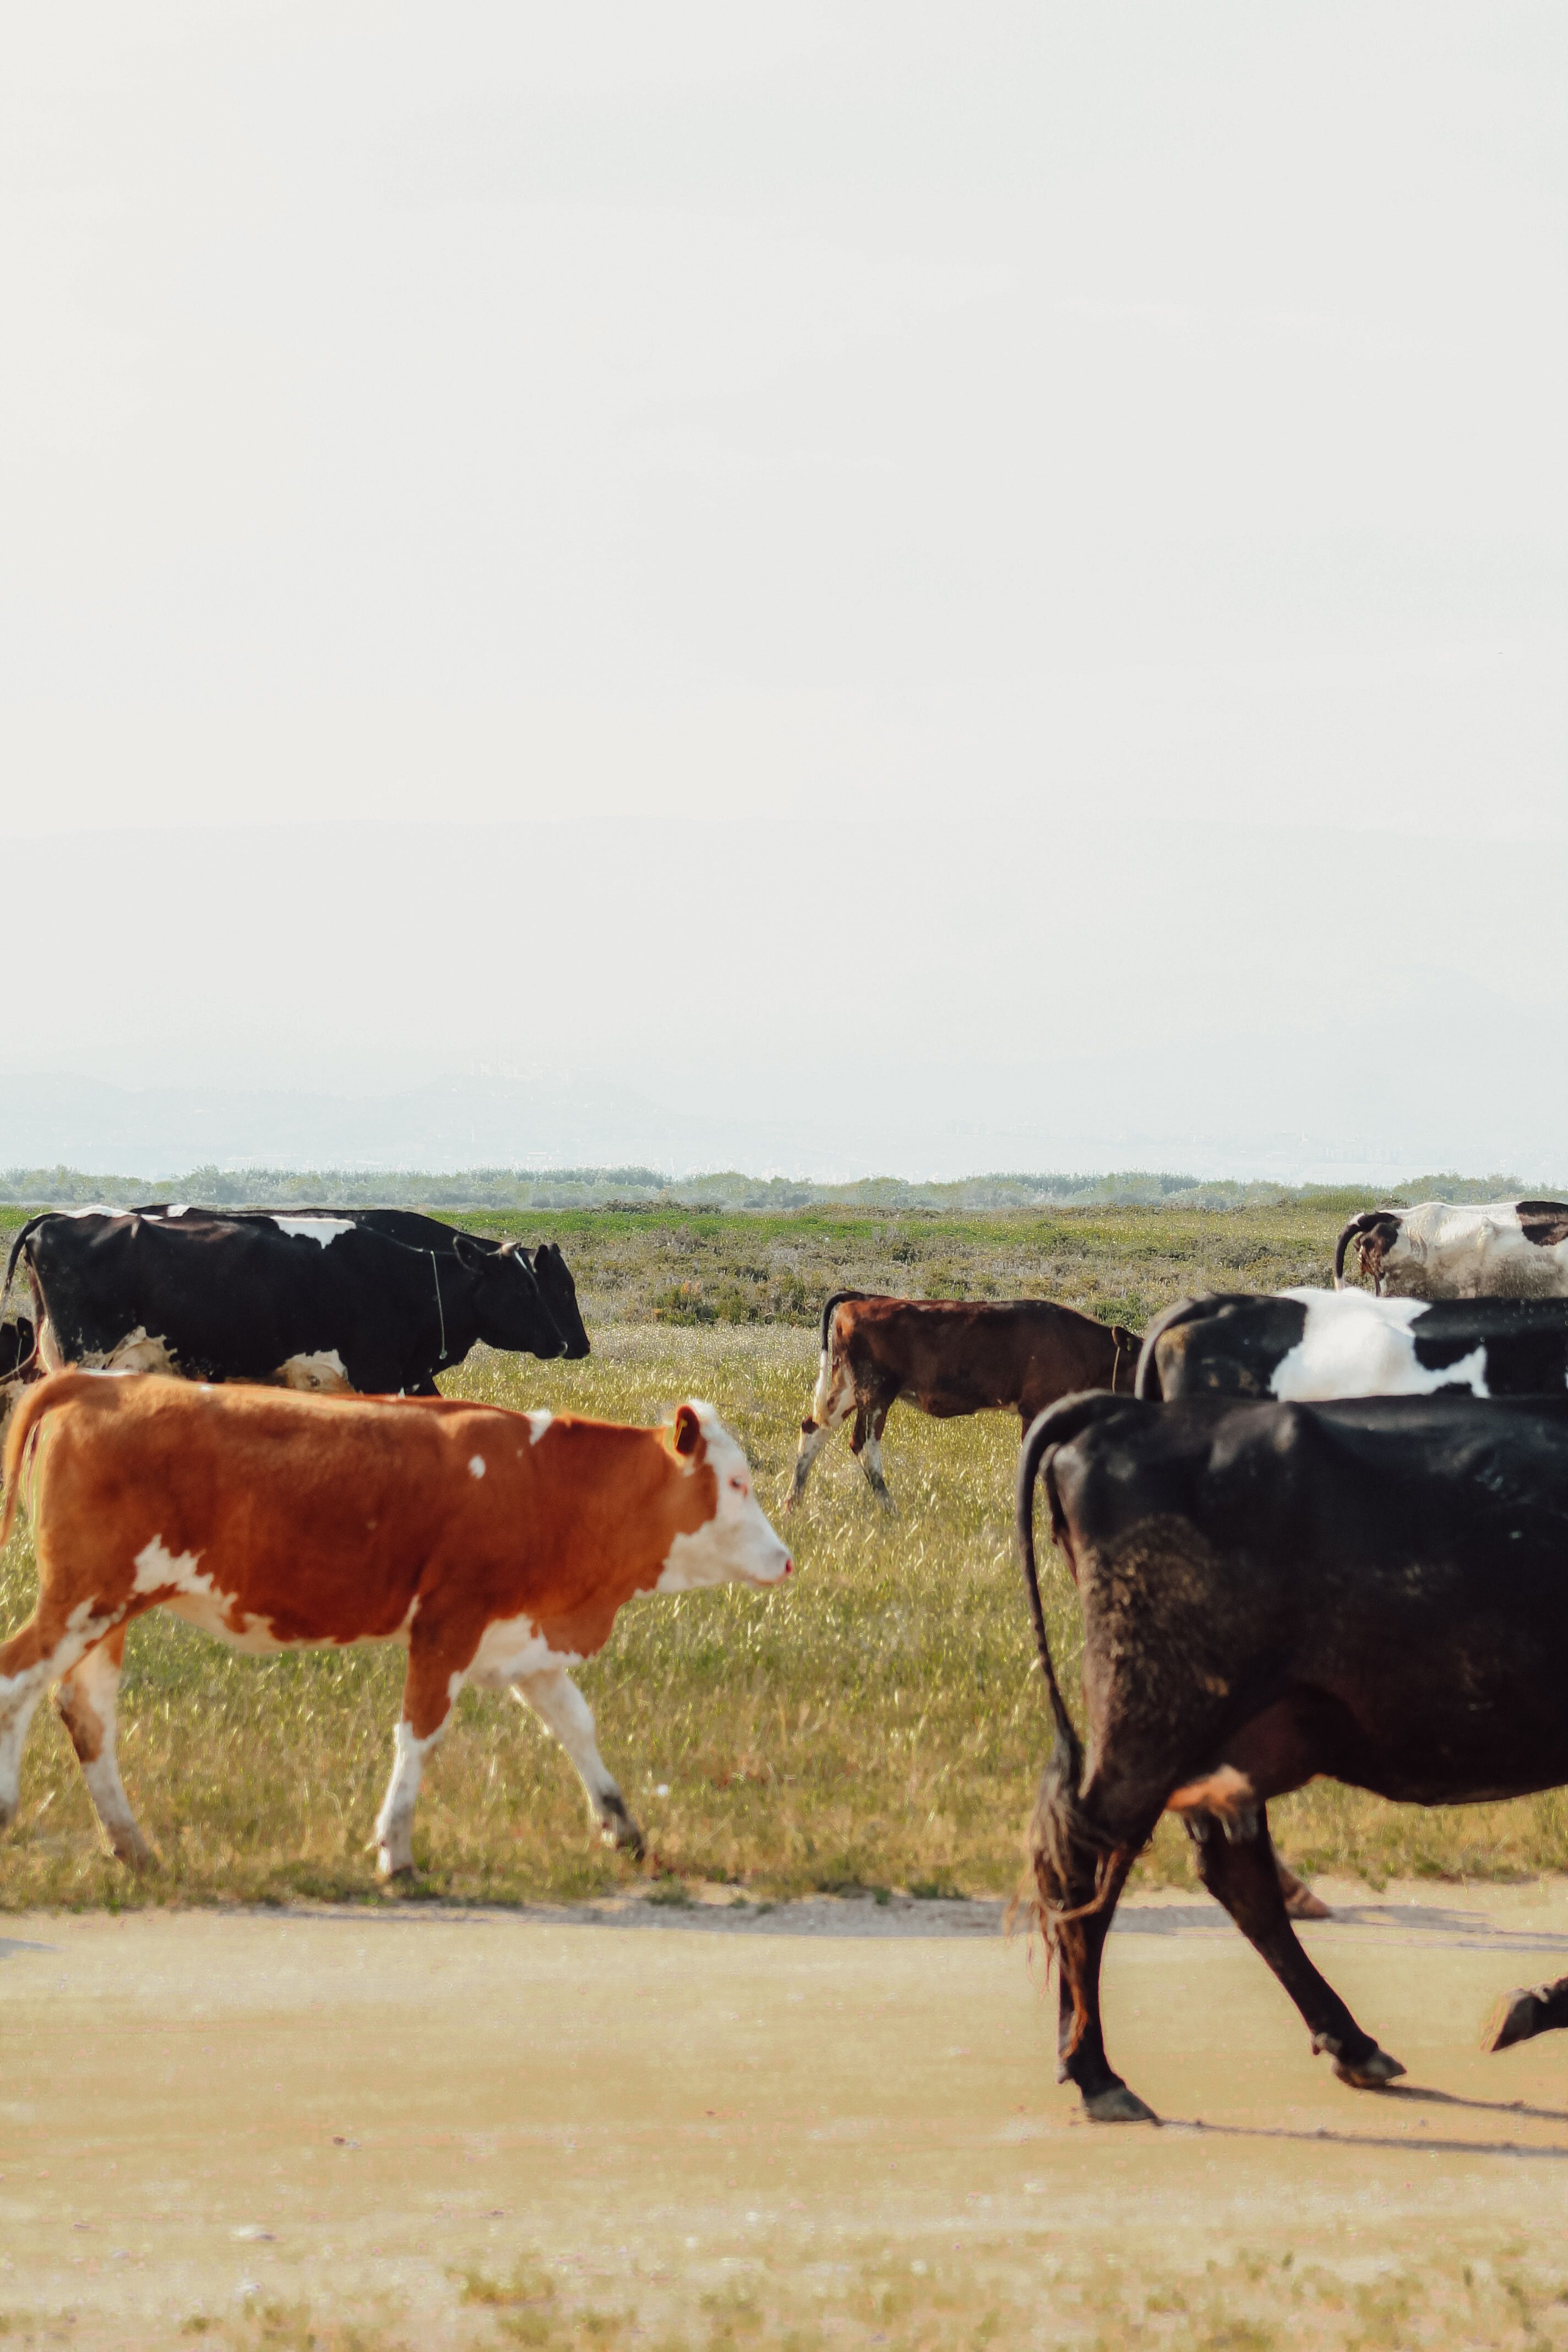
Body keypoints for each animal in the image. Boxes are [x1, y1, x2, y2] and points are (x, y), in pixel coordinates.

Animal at [0, 1206, 568, 1398]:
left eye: (542, 1284)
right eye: (524, 1288)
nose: (564, 1343)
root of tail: (56, 1218)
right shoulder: (379, 1377)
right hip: (83, 1358)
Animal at [0, 1372, 791, 1874]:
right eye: (738, 1483)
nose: (785, 1560)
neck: (545, 1484)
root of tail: (101, 1381)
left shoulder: (524, 1640)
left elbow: (578, 1727)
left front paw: (625, 1831)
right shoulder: (447, 1627)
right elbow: (420, 1734)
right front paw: (396, 1852)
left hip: (108, 1611)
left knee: (87, 1712)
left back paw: (134, 1848)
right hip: (84, 1600)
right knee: (17, 1683)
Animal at [785, 1291, 1140, 1511]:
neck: (1080, 1346)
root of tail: (863, 1298)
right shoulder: (1037, 1410)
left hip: (846, 1388)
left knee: (814, 1428)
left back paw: (793, 1503)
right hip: (875, 1394)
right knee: (863, 1443)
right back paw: (891, 1509)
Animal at [1016, 1387, 1568, 2122]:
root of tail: (1127, 1413)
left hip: (1224, 1741)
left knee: (1234, 1875)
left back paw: (1353, 2044)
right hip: (1152, 1722)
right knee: (1085, 1870)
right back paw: (1095, 2073)